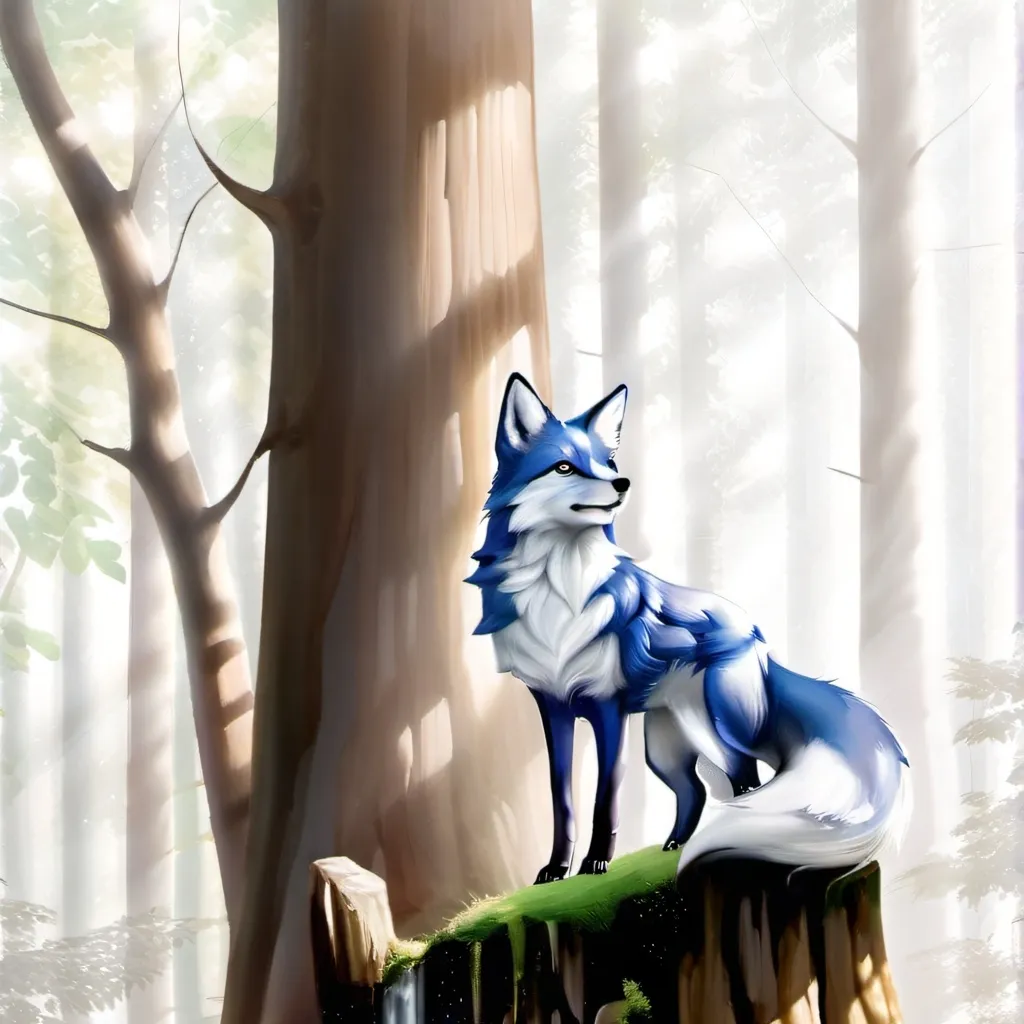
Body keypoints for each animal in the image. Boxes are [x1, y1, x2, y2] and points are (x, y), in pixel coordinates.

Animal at [466, 372, 911, 885]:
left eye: (607, 463)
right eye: (564, 467)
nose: (623, 482)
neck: (559, 594)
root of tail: (755, 630)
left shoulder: (607, 709)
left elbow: (604, 799)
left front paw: (596, 864)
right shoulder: (553, 707)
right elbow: (564, 803)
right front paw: (556, 870)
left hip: (716, 730)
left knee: (747, 779)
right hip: (664, 750)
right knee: (695, 791)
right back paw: (676, 844)